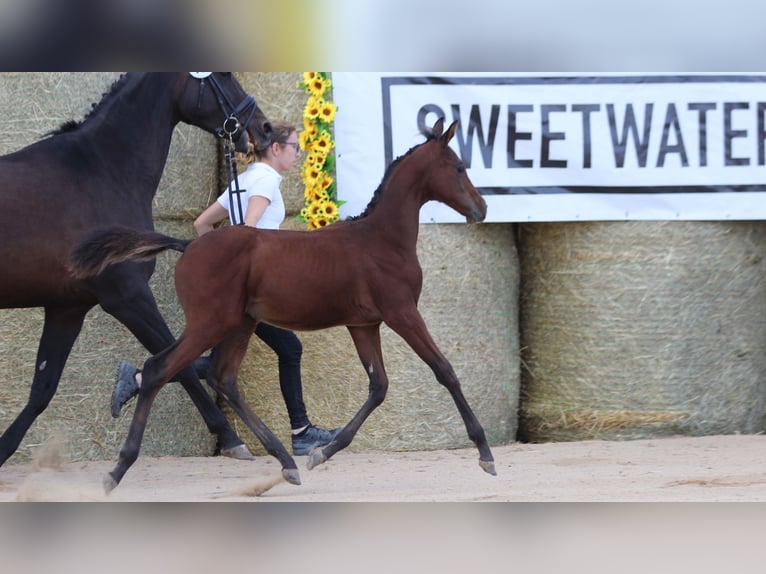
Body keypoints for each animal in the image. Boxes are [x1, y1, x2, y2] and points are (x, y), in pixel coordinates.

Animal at [0, 72, 273, 467]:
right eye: (223, 76)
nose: (264, 128)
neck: (100, 172)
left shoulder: (67, 308)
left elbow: (42, 389)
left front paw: (3, 450)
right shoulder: (128, 298)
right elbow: (179, 364)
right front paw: (230, 437)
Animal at [71, 118, 497, 493]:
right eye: (459, 167)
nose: (482, 208)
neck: (381, 239)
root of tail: (188, 244)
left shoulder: (364, 324)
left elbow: (378, 386)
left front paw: (323, 452)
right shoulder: (402, 313)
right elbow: (445, 371)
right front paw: (485, 453)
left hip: (239, 324)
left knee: (222, 377)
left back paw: (286, 461)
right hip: (211, 322)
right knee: (161, 369)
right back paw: (119, 467)